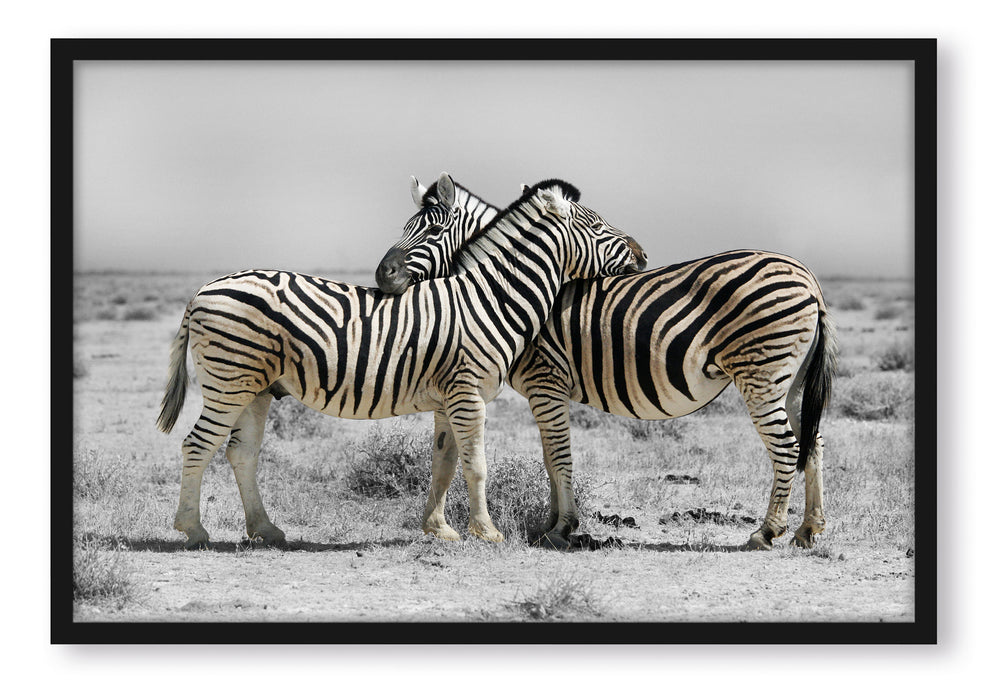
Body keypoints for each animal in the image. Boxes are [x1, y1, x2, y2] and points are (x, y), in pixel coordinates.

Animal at [157, 173, 646, 549]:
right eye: (598, 225)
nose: (642, 254)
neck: (489, 298)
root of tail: (202, 290)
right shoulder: (468, 393)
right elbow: (477, 465)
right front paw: (487, 532)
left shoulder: (449, 397)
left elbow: (444, 464)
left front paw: (440, 529)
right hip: (229, 380)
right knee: (197, 445)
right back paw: (193, 530)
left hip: (255, 387)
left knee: (241, 452)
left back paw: (266, 529)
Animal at [376, 179, 837, 551]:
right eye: (405, 227)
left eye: (433, 230)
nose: (383, 275)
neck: (504, 289)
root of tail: (809, 277)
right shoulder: (546, 390)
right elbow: (549, 457)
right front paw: (550, 524)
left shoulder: (546, 380)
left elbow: (558, 455)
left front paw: (562, 528)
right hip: (790, 380)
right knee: (812, 442)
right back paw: (808, 530)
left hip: (761, 374)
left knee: (787, 447)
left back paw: (767, 532)